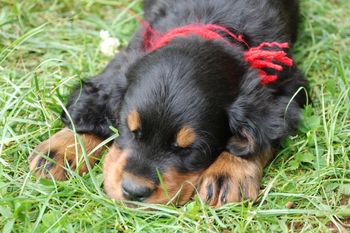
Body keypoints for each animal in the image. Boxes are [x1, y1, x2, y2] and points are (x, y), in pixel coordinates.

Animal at [28, 0, 308, 208]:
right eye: (129, 129)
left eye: (190, 150)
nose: (133, 191)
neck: (211, 23)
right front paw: (62, 147)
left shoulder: (288, 86)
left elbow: (265, 134)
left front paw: (229, 172)